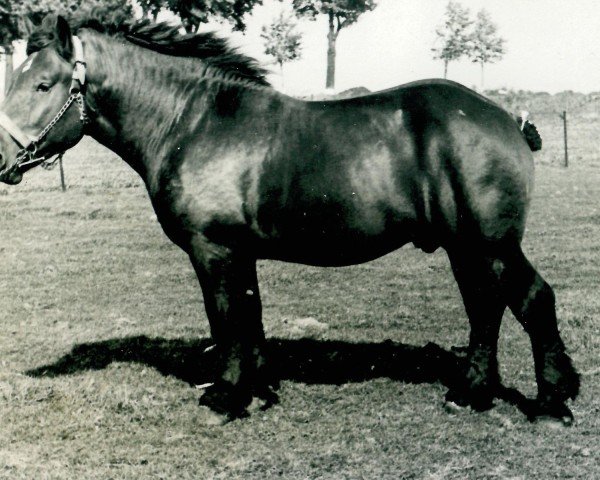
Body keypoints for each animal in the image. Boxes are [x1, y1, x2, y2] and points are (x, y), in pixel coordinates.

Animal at [0, 13, 580, 422]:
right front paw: (257, 389)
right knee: (486, 306)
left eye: (44, 84)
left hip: (491, 243)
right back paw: (471, 393)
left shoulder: (214, 250)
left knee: (531, 299)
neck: (194, 121)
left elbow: (226, 317)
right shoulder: (240, 253)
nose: (2, 161)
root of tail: (507, 118)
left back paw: (551, 402)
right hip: (468, 248)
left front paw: (225, 397)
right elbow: (249, 316)